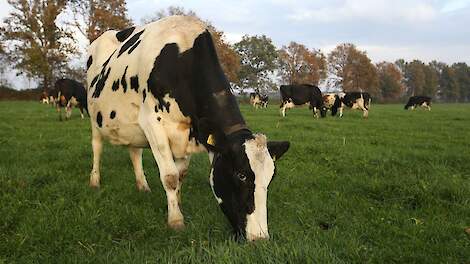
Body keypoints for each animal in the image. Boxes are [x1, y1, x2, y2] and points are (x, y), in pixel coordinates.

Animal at [86, 14, 288, 241]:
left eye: (271, 177)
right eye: (241, 175)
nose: (259, 238)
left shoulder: (190, 133)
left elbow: (181, 173)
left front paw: (178, 204)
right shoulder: (152, 123)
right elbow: (170, 177)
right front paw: (176, 220)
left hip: (132, 124)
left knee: (135, 151)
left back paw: (143, 186)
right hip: (95, 116)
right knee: (97, 147)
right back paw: (95, 181)